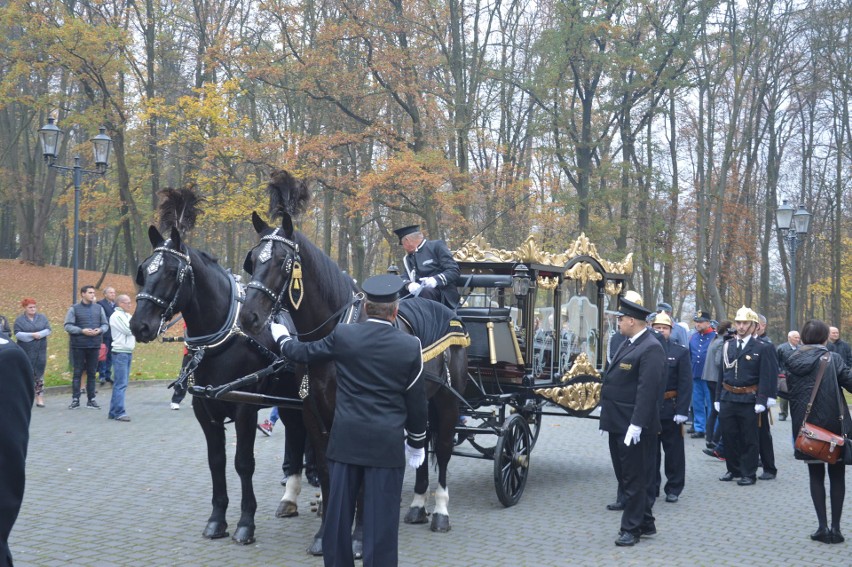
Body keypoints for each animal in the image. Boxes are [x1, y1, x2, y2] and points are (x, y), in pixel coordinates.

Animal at [131, 190, 308, 544]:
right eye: (144, 270)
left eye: (171, 272)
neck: (220, 341)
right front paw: (217, 520)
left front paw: (245, 523)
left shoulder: (244, 408)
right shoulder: (204, 408)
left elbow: (243, 463)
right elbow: (217, 462)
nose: (138, 325)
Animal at [238, 170, 466, 552]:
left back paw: (441, 512)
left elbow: (360, 475)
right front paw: (324, 535)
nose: (249, 317)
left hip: (448, 402)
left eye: (283, 262)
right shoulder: (314, 415)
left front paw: (358, 538)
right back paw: (417, 505)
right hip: (421, 403)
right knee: (421, 448)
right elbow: (328, 471)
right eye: (252, 261)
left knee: (445, 452)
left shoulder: (357, 415)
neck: (328, 338)